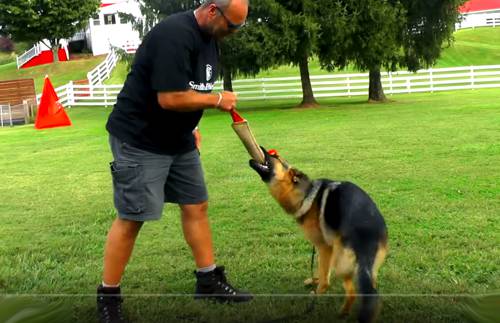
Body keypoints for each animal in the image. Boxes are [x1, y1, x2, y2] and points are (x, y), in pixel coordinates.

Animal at [249, 148, 386, 322]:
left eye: (275, 157)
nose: (261, 147)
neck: (305, 194)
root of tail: (368, 233)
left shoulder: (323, 247)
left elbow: (324, 275)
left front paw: (319, 291)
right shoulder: (329, 247)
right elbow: (323, 272)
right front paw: (315, 280)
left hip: (342, 263)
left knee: (353, 292)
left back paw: (342, 312)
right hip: (365, 269)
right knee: (372, 294)